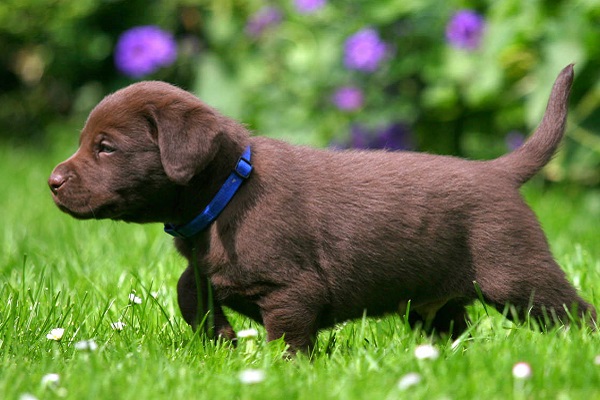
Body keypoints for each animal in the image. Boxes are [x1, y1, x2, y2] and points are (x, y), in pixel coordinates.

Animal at [48, 64, 596, 352]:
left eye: (106, 147)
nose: (51, 182)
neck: (229, 191)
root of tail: (498, 170)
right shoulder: (205, 262)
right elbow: (189, 286)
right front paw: (220, 336)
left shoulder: (292, 289)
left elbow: (287, 337)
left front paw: (279, 371)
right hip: (436, 303)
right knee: (451, 327)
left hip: (515, 272)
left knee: (573, 311)